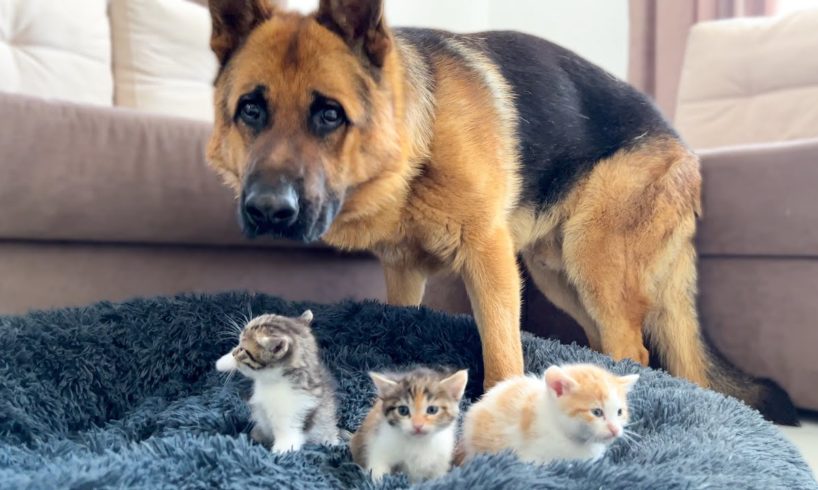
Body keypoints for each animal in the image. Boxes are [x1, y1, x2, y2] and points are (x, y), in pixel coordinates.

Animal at [206, 0, 796, 424]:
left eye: (329, 115)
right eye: (251, 110)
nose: (267, 211)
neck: (419, 143)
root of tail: (683, 147)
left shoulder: (488, 259)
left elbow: (502, 354)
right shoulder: (404, 271)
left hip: (593, 262)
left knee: (637, 351)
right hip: (559, 275)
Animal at [214, 312, 338, 454]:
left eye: (243, 350)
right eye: (239, 345)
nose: (235, 352)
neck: (271, 380)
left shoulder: (293, 412)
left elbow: (288, 438)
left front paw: (278, 455)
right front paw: (223, 362)